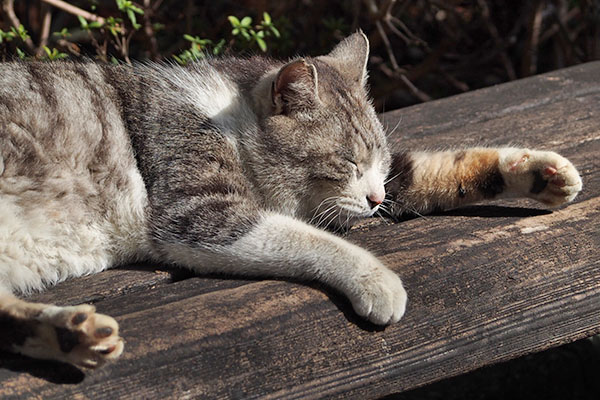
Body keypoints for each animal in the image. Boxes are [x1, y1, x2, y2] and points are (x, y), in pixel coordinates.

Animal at [0, 33, 580, 368]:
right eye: (347, 163)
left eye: (377, 161)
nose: (374, 198)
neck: (228, 120)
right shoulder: (201, 213)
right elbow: (309, 239)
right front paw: (379, 281)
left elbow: (437, 168)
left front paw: (541, 173)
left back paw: (73, 334)